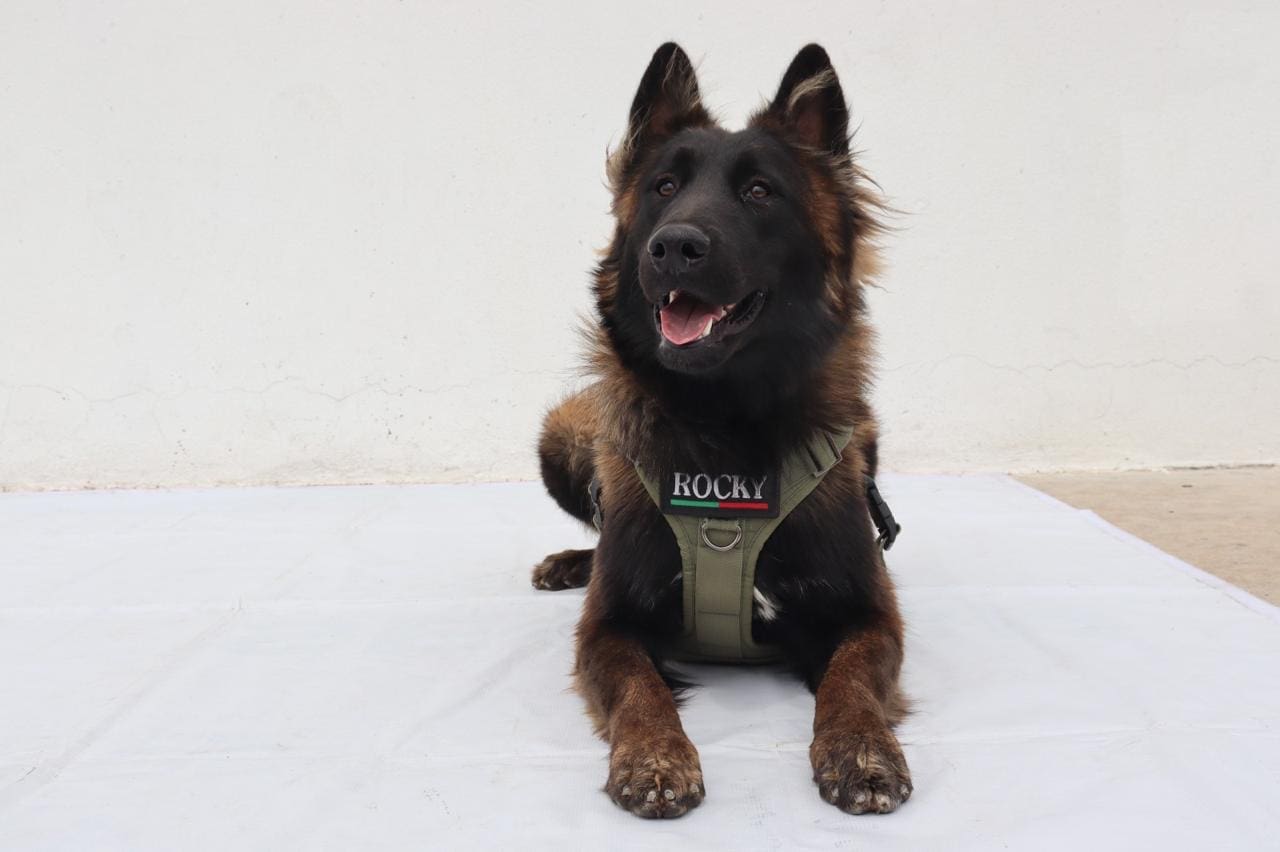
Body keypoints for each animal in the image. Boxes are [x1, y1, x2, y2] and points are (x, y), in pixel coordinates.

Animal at [532, 43, 909, 819]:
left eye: (760, 192)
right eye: (664, 187)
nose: (673, 247)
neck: (724, 422)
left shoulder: (872, 615)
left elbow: (852, 678)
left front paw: (860, 748)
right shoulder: (605, 627)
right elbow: (638, 684)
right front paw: (654, 756)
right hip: (563, 432)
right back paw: (569, 563)